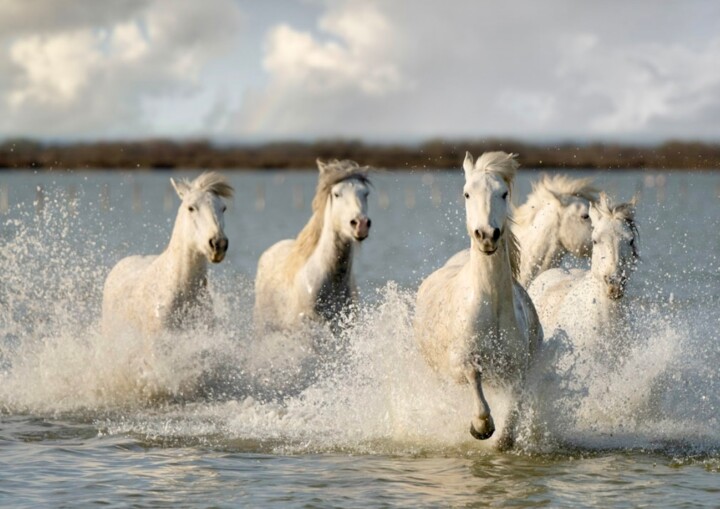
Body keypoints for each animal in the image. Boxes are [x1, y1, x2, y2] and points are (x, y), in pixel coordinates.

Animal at [414, 150, 544, 440]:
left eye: (504, 193)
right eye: (467, 193)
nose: (486, 235)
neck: (490, 305)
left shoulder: (517, 370)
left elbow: (514, 409)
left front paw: (503, 437)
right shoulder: (457, 365)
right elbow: (473, 374)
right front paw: (481, 426)